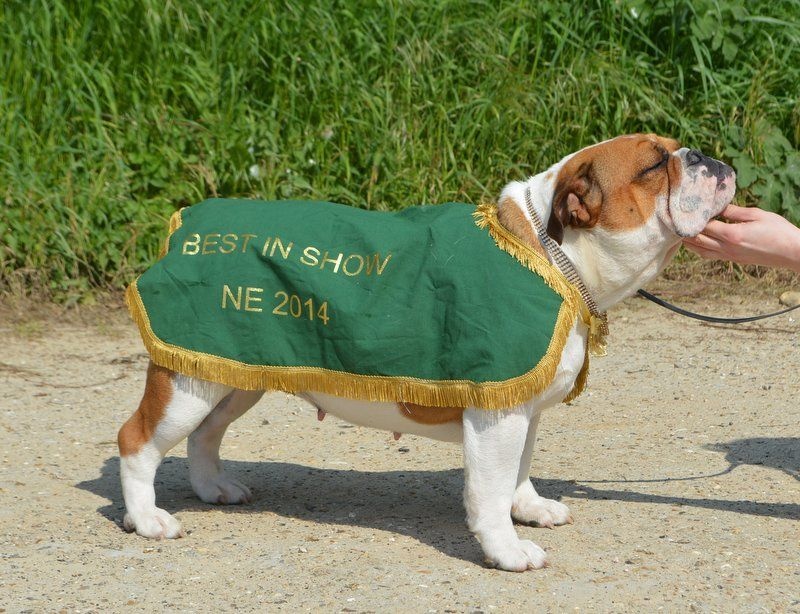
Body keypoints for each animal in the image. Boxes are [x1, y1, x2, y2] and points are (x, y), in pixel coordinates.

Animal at [117, 134, 735, 571]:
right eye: (654, 166)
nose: (705, 156)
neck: (553, 256)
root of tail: (185, 225)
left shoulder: (524, 410)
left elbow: (520, 471)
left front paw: (529, 509)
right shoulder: (497, 415)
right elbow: (490, 489)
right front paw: (506, 550)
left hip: (232, 375)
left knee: (204, 435)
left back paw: (212, 488)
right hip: (187, 385)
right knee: (138, 441)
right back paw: (148, 519)